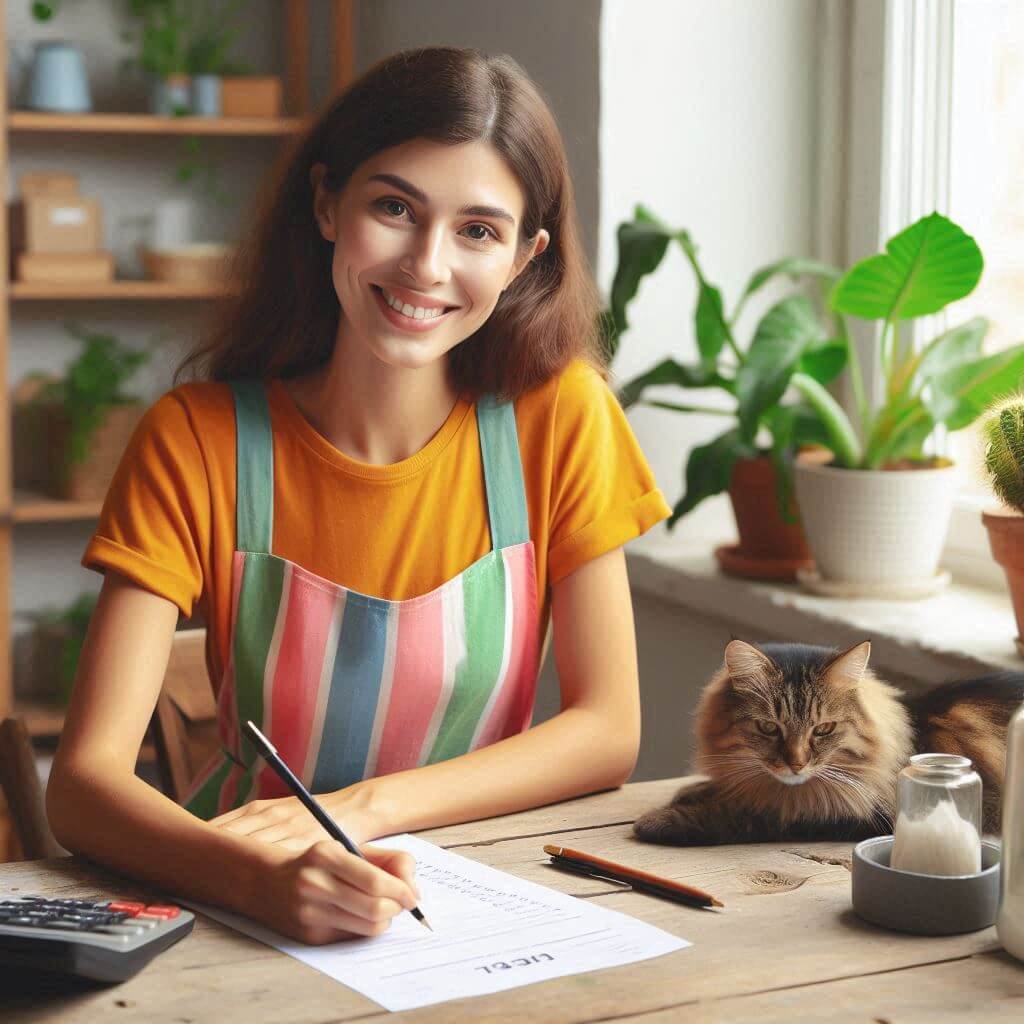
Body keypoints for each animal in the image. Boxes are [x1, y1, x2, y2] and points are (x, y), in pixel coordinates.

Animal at [634, 634, 1019, 843]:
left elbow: (747, 816)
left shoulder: (848, 816)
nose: (795, 764)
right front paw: (693, 791)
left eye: (823, 730)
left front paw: (659, 821)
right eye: (769, 728)